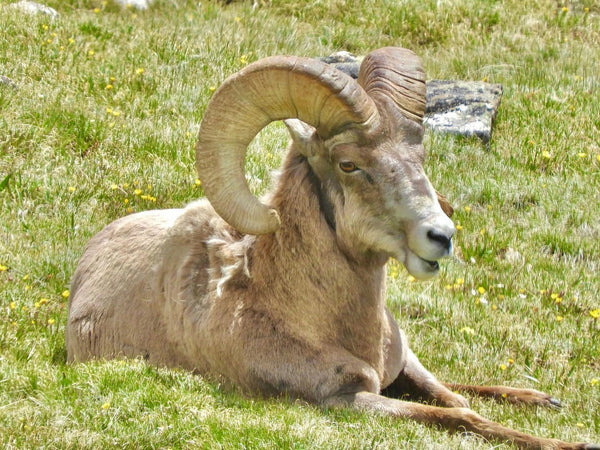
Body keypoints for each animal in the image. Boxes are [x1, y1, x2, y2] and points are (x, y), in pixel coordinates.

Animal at [65, 47, 596, 448]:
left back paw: (543, 398)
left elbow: (457, 398)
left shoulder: (402, 365)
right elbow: (461, 415)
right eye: (348, 164)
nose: (441, 236)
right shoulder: (345, 401)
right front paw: (569, 443)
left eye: (420, 156)